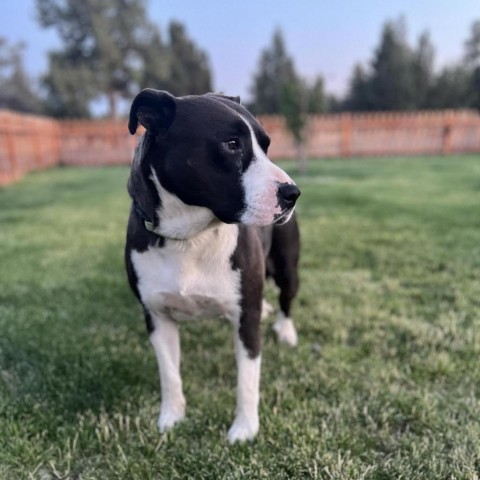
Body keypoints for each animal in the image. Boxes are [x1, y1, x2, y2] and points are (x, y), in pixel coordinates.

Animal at [125, 89, 302, 442]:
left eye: (266, 146)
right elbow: (169, 374)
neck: (189, 238)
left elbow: (247, 380)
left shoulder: (245, 321)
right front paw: (171, 418)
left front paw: (244, 429)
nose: (292, 192)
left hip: (287, 266)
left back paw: (286, 330)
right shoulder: (157, 318)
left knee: (287, 297)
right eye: (232, 144)